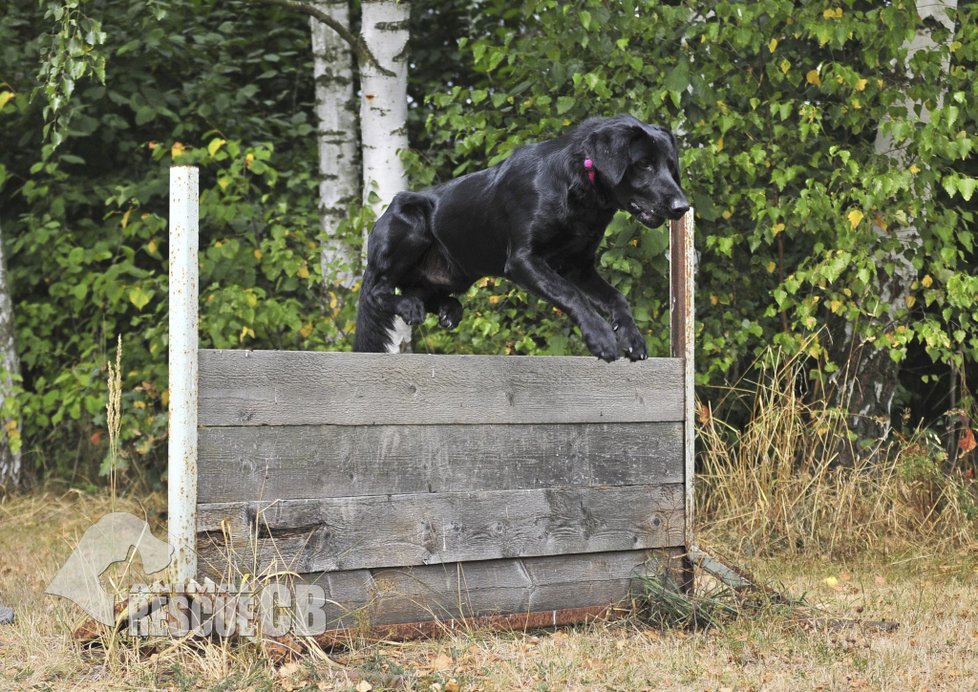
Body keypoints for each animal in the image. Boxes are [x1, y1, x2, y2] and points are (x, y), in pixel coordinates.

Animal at [352, 113, 688, 362]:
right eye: (644, 164)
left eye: (671, 167)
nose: (682, 207)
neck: (578, 186)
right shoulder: (524, 260)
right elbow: (571, 295)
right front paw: (601, 337)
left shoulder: (578, 267)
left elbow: (617, 297)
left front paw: (632, 337)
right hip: (410, 221)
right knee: (377, 292)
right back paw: (409, 305)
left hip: (454, 273)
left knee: (420, 291)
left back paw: (447, 309)